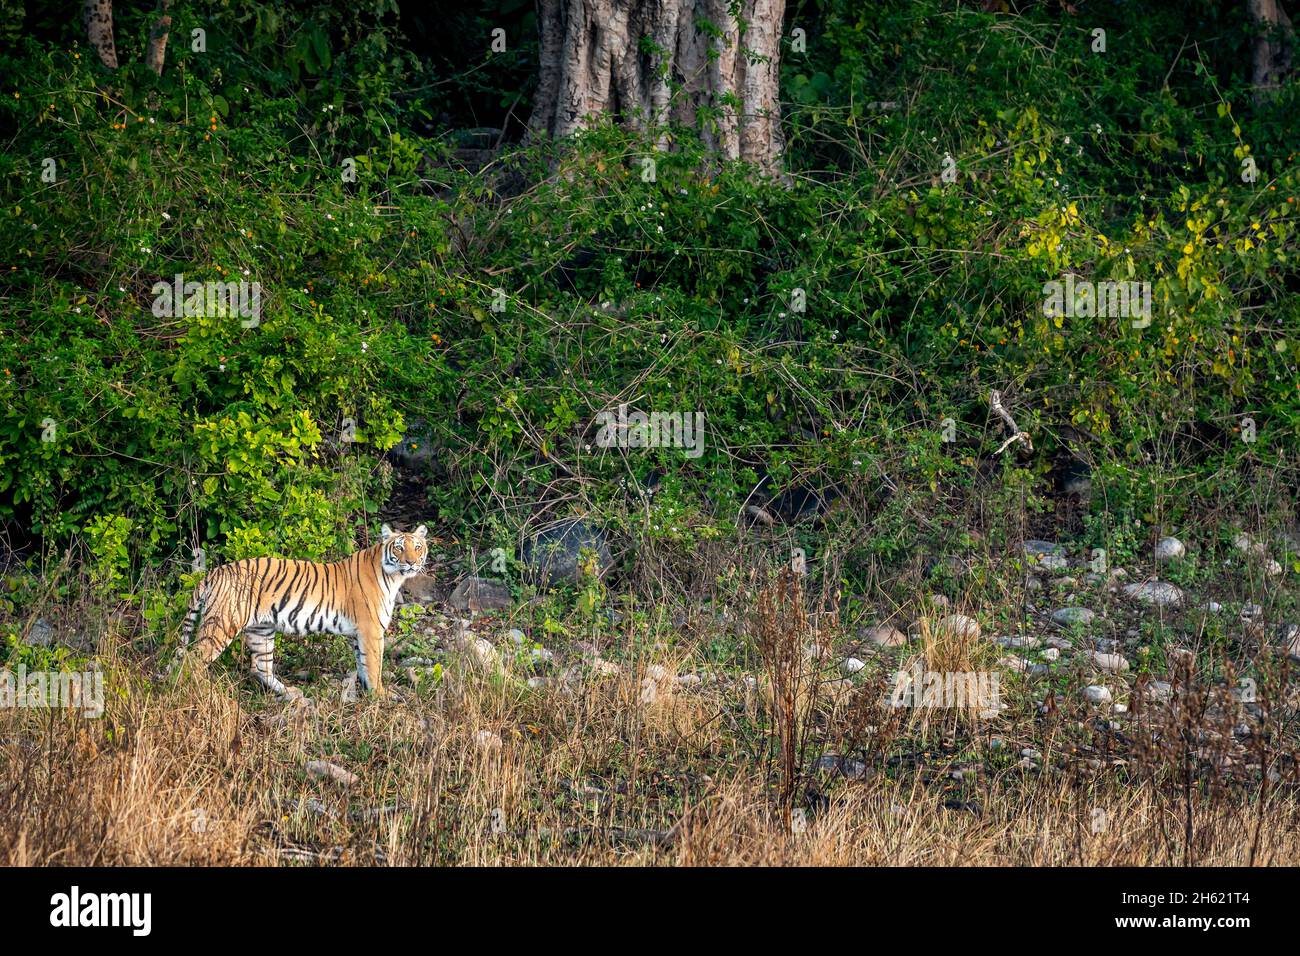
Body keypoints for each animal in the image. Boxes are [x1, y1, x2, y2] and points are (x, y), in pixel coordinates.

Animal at [167, 528, 428, 697]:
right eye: (399, 548)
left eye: (417, 547)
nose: (412, 563)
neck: (393, 577)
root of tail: (214, 572)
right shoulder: (371, 630)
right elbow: (374, 665)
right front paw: (379, 696)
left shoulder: (360, 633)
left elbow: (363, 664)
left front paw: (367, 693)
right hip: (222, 625)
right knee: (192, 660)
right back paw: (201, 691)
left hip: (261, 630)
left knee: (260, 668)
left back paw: (291, 693)